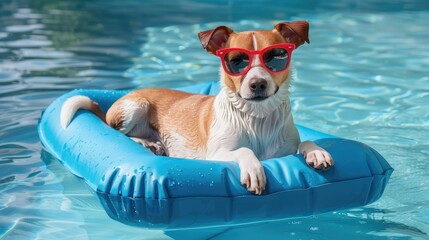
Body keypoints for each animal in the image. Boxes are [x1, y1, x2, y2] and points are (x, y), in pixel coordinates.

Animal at [60, 20, 334, 195]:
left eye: (276, 57)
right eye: (236, 61)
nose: (257, 83)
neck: (256, 118)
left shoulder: (284, 150)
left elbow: (304, 142)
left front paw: (317, 151)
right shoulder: (216, 154)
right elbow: (245, 150)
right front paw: (254, 169)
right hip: (136, 105)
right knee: (114, 130)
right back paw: (147, 143)